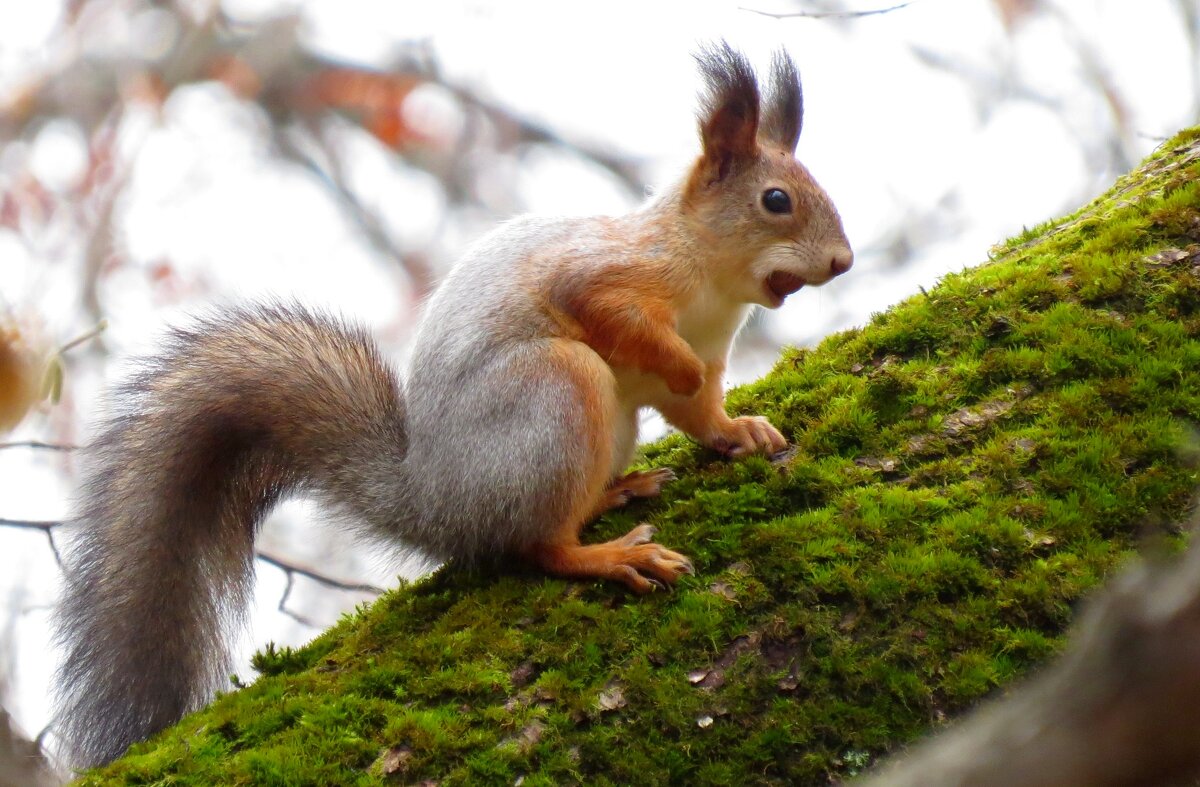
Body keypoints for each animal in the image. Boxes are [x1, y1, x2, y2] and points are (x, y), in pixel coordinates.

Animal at [49, 43, 854, 767]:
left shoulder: (709, 356)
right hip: (557, 390)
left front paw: (742, 432)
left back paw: (618, 490)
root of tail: (435, 499)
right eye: (775, 200)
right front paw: (683, 369)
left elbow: (701, 412)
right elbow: (616, 321)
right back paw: (609, 553)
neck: (711, 283)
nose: (843, 262)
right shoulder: (608, 279)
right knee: (539, 544)